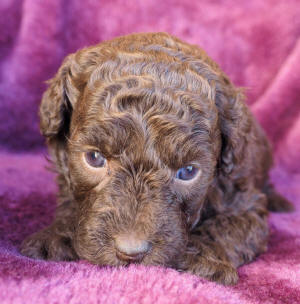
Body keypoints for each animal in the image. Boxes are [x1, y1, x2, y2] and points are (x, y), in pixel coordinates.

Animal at [19, 32, 292, 284]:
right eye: (94, 158)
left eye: (188, 172)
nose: (131, 253)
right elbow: (70, 202)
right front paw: (57, 235)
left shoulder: (242, 198)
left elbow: (230, 225)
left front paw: (203, 257)